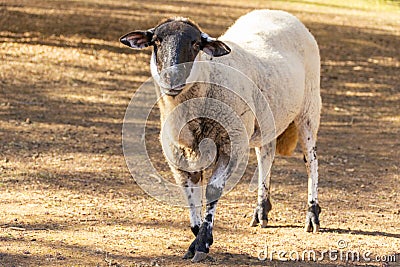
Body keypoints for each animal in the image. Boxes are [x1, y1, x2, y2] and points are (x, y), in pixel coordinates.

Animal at [121, 8, 322, 264]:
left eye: (195, 44)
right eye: (156, 41)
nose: (172, 78)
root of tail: (278, 12)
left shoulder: (229, 146)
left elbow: (212, 191)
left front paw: (202, 243)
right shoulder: (180, 157)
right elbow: (190, 195)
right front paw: (197, 238)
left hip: (309, 108)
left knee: (311, 161)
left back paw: (312, 214)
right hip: (268, 120)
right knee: (266, 156)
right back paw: (261, 210)